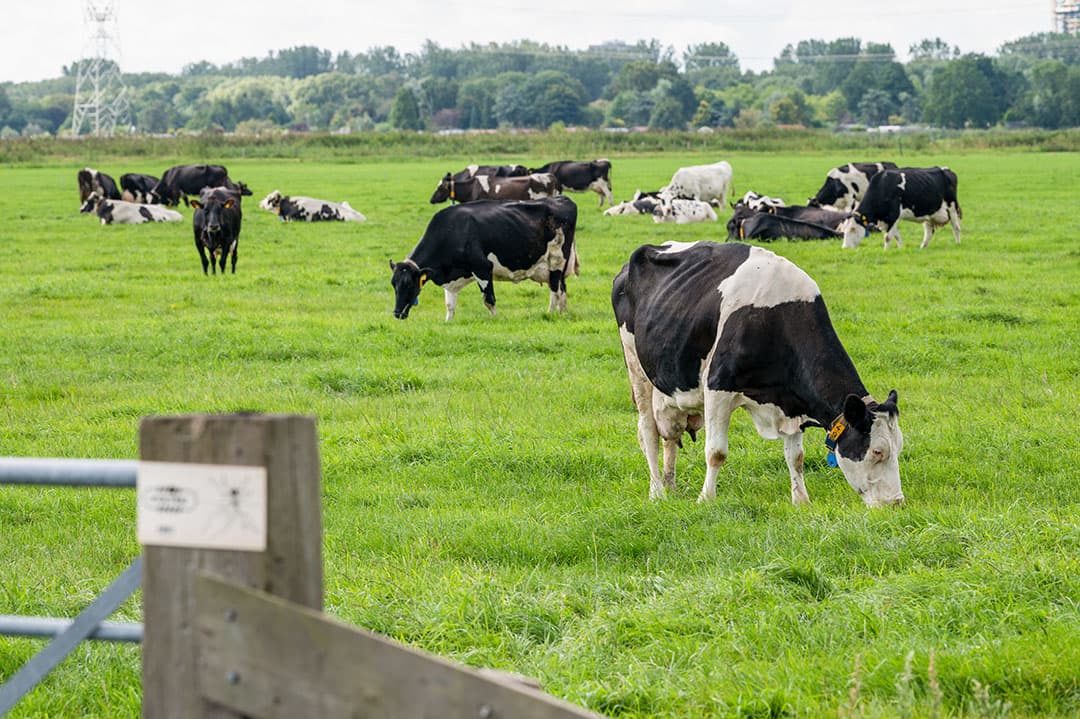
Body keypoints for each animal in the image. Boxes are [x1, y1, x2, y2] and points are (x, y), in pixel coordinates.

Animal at [390, 196, 578, 321]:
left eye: (409, 284)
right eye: (393, 284)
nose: (397, 313)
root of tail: (561, 198)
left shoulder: (483, 267)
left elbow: (489, 300)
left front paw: (495, 320)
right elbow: (450, 305)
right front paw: (448, 322)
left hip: (556, 259)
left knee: (555, 290)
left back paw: (550, 313)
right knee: (562, 288)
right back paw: (563, 313)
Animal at [612, 240, 905, 507]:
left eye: (899, 448)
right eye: (877, 451)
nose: (896, 503)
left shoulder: (792, 401)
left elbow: (796, 456)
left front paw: (801, 501)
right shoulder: (717, 387)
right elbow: (716, 452)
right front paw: (706, 499)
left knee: (670, 436)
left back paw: (670, 487)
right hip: (635, 364)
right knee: (648, 431)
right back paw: (657, 493)